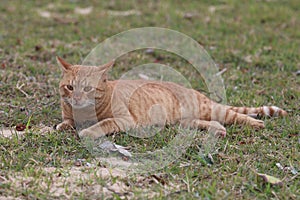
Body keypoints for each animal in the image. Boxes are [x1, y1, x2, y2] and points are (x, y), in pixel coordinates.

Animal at [55, 56, 288, 139]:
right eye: (70, 87)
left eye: (87, 88)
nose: (77, 98)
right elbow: (65, 123)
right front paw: (64, 125)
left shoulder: (124, 119)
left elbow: (103, 123)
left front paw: (88, 131)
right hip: (185, 121)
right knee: (207, 123)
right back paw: (218, 130)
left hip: (210, 110)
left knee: (236, 115)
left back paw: (255, 123)